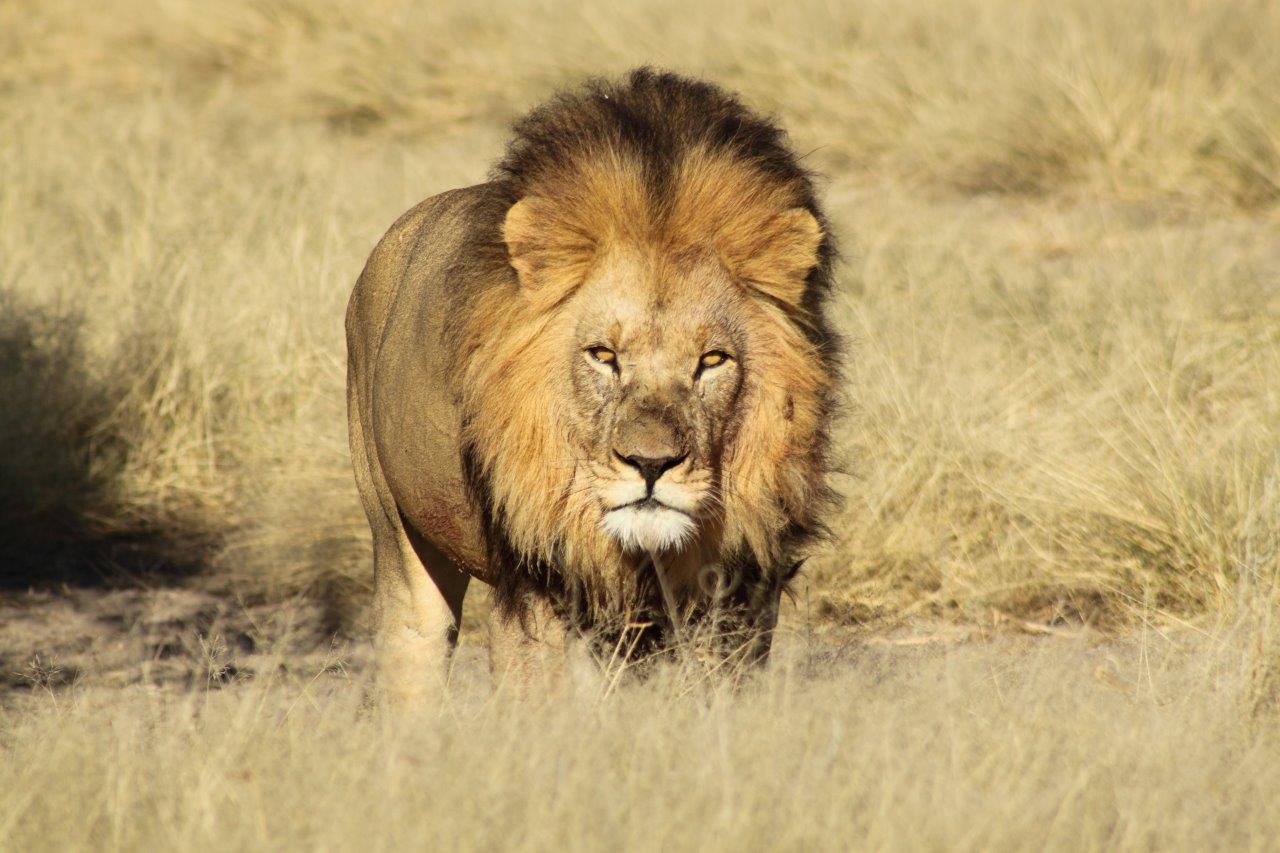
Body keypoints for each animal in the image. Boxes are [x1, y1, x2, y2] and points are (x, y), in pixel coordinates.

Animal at [346, 68, 838, 702]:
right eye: (604, 356)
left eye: (711, 360)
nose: (651, 465)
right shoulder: (535, 588)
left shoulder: (741, 590)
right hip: (397, 535)